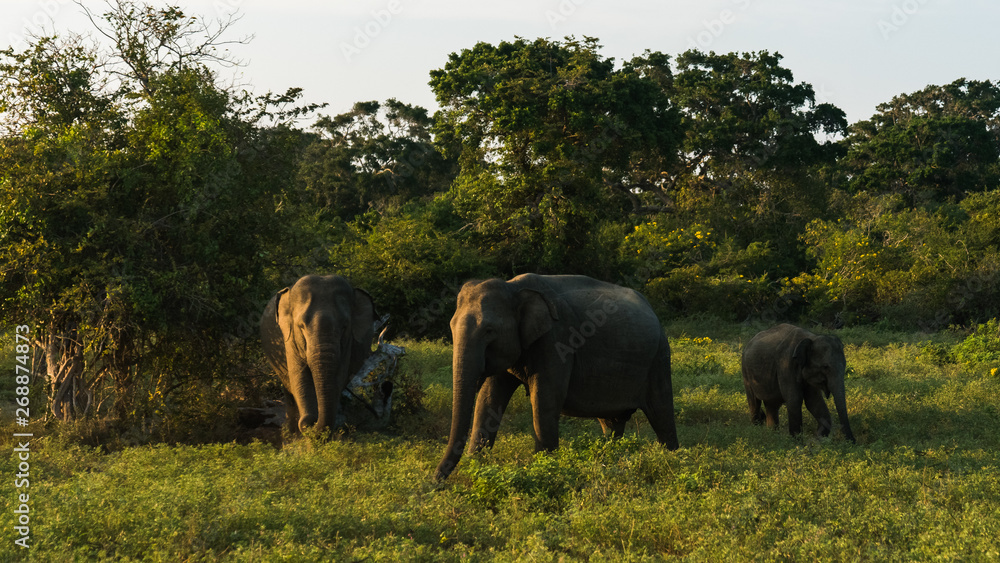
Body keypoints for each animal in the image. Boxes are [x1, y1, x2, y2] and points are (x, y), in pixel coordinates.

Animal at [260, 275, 377, 435]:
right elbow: (300, 377)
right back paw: (291, 434)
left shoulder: (348, 344)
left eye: (344, 326)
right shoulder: (289, 339)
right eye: (301, 326)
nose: (309, 421)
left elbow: (339, 375)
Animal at [434, 273, 679, 481]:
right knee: (612, 423)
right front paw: (475, 465)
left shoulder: (557, 340)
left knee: (661, 413)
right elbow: (488, 399)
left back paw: (673, 459)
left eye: (489, 331)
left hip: (659, 356)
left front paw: (543, 469)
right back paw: (609, 457)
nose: (436, 482)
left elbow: (545, 400)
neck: (513, 287)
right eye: (451, 327)